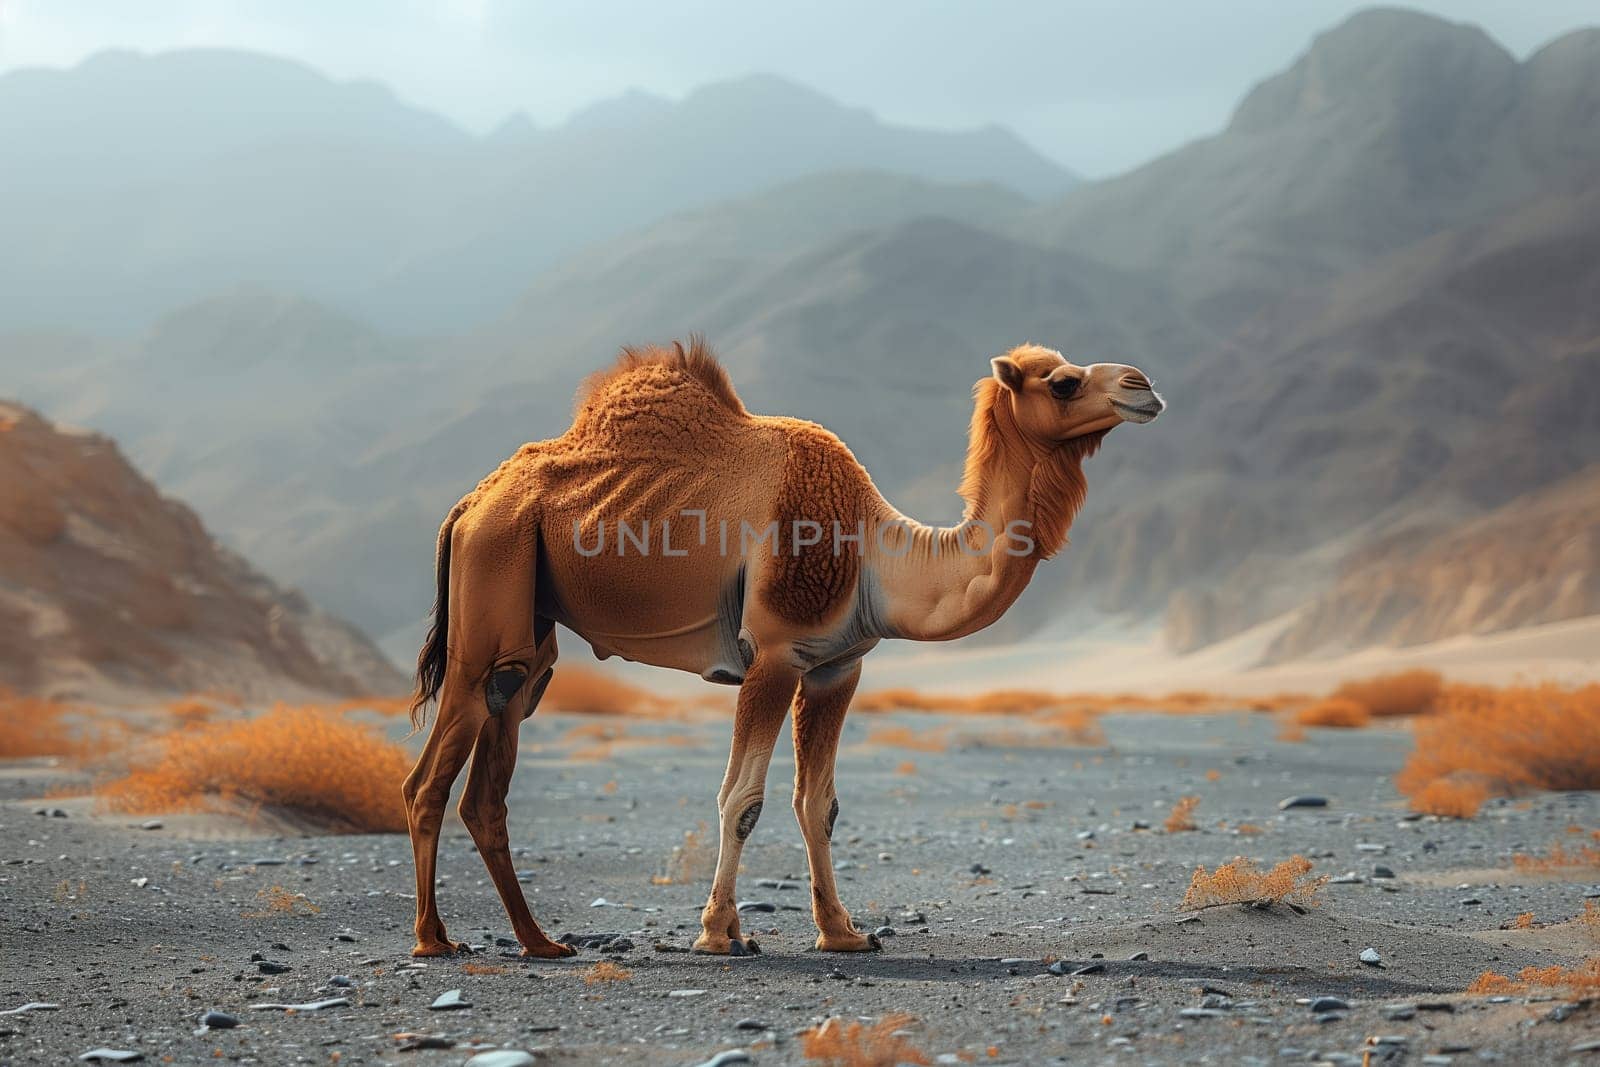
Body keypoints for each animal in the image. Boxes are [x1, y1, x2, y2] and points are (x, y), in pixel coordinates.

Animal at [406, 340, 1171, 959]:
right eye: (1064, 382)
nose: (1143, 385)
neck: (875, 555)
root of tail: (469, 504)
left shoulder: (835, 666)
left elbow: (818, 802)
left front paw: (843, 931)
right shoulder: (772, 654)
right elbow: (742, 797)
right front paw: (719, 933)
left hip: (528, 630)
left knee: (491, 776)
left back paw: (539, 943)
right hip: (494, 574)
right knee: (430, 777)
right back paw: (434, 941)